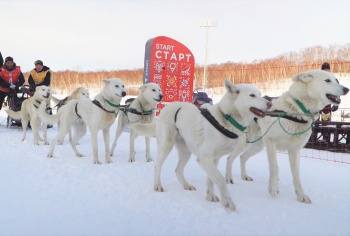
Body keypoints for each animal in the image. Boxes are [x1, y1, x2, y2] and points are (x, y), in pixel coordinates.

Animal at [154, 79, 272, 210]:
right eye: (252, 95)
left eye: (260, 94)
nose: (270, 104)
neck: (225, 119)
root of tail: (171, 105)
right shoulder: (204, 158)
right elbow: (220, 179)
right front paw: (227, 201)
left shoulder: (214, 159)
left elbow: (211, 179)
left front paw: (210, 196)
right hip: (166, 145)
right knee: (157, 166)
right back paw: (158, 185)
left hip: (186, 152)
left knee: (178, 170)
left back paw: (186, 185)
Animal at [226, 69, 348, 204]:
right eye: (327, 80)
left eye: (336, 80)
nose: (346, 89)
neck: (297, 109)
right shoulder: (271, 142)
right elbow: (274, 167)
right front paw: (273, 188)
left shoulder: (294, 150)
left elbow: (296, 175)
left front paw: (301, 195)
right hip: (244, 143)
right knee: (230, 158)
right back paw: (228, 179)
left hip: (258, 145)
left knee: (242, 157)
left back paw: (244, 176)